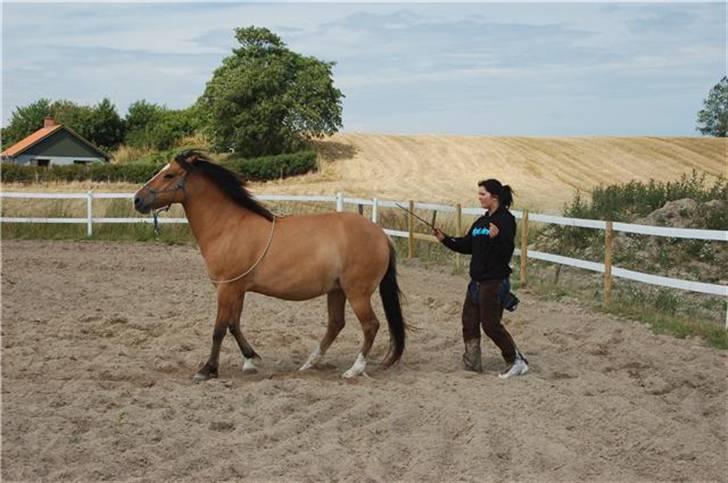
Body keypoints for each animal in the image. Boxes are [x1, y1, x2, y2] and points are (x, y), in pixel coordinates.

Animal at [131, 151, 404, 382]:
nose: (137, 200)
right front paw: (250, 360)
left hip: (357, 292)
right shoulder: (237, 289)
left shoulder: (226, 288)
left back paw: (354, 370)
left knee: (370, 326)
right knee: (335, 325)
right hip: (336, 290)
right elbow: (234, 324)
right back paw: (309, 364)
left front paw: (208, 369)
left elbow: (219, 329)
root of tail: (381, 234)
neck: (227, 226)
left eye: (169, 174)